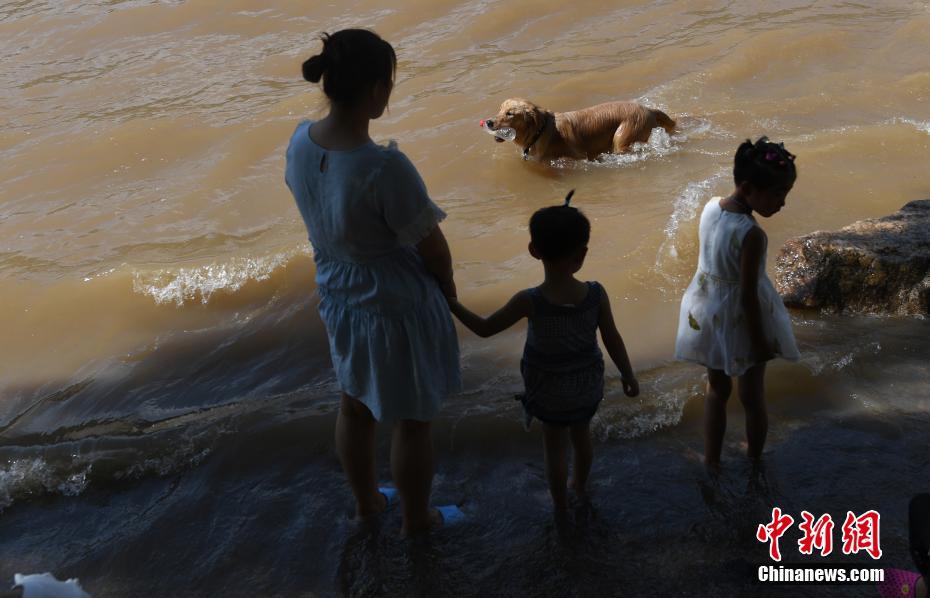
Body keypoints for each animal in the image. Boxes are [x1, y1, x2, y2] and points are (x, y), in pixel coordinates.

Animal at [486, 99, 676, 163]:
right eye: (500, 109)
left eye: (510, 113)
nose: (488, 122)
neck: (540, 131)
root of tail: (649, 110)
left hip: (622, 136)